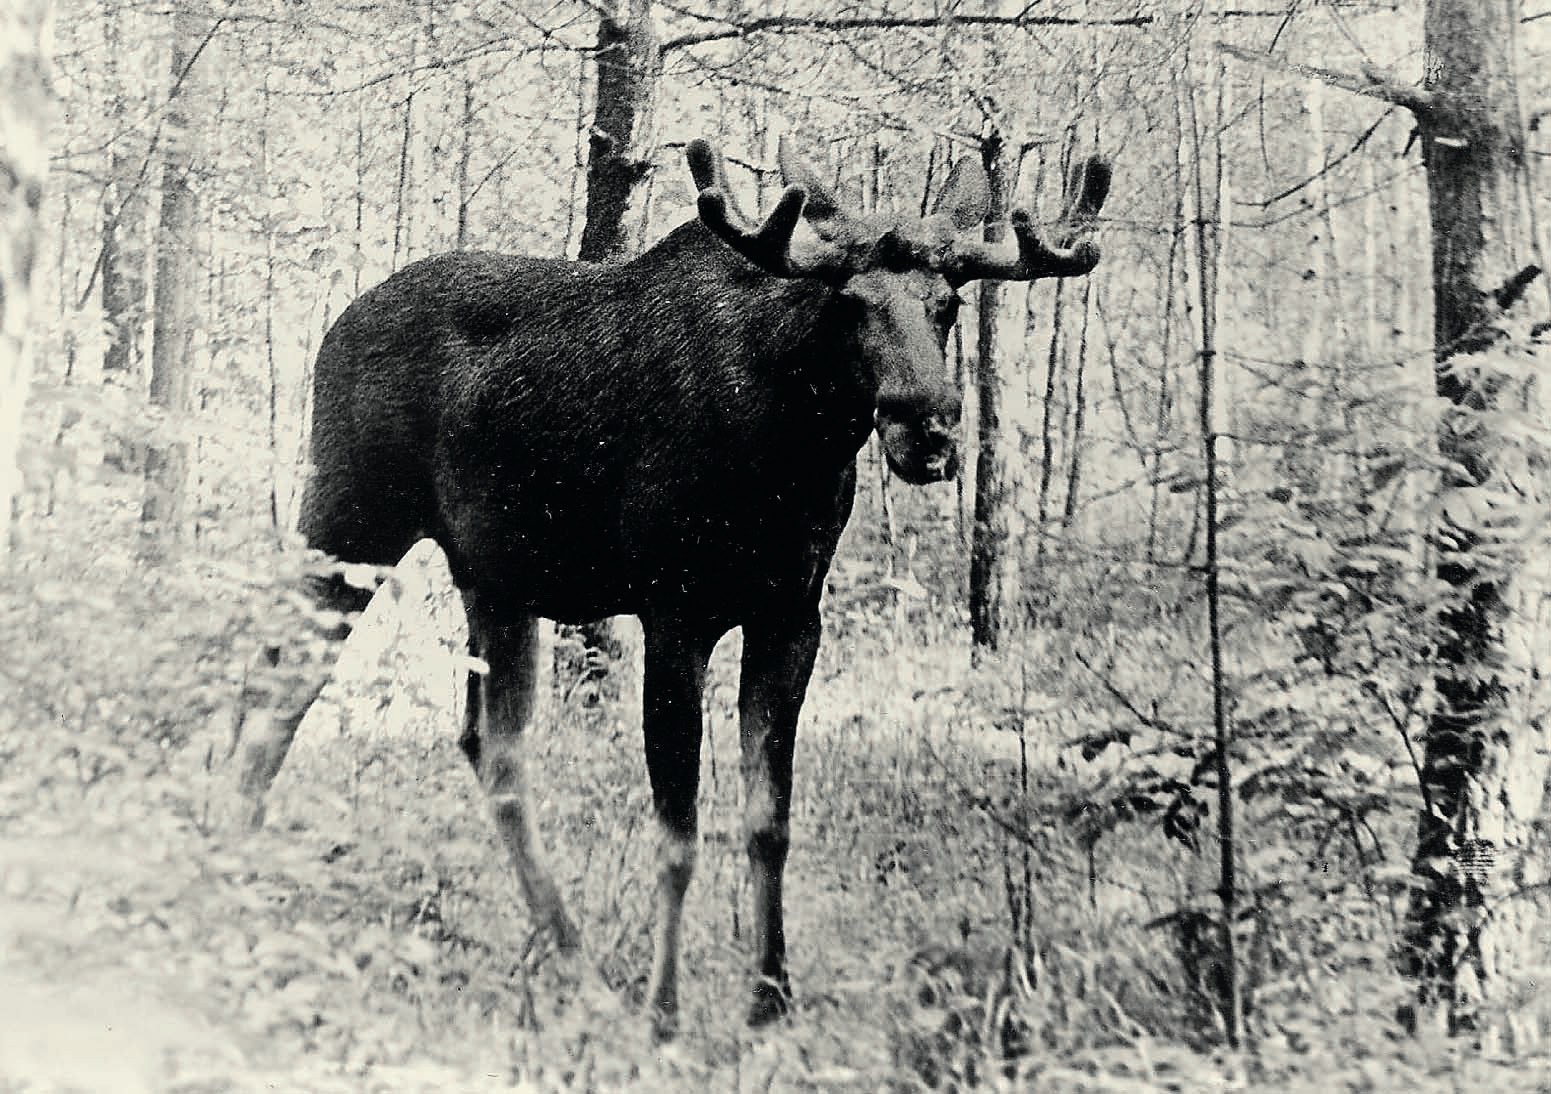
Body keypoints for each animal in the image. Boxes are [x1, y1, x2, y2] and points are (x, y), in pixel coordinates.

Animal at [230, 134, 1110, 1037]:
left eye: (946, 306)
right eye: (849, 305)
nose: (927, 425)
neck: (788, 457)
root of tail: (332, 331)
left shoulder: (792, 615)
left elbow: (768, 820)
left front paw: (769, 997)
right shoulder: (673, 610)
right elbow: (679, 831)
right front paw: (665, 1010)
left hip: (492, 578)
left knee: (488, 747)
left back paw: (574, 965)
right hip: (349, 518)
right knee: (276, 683)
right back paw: (232, 859)